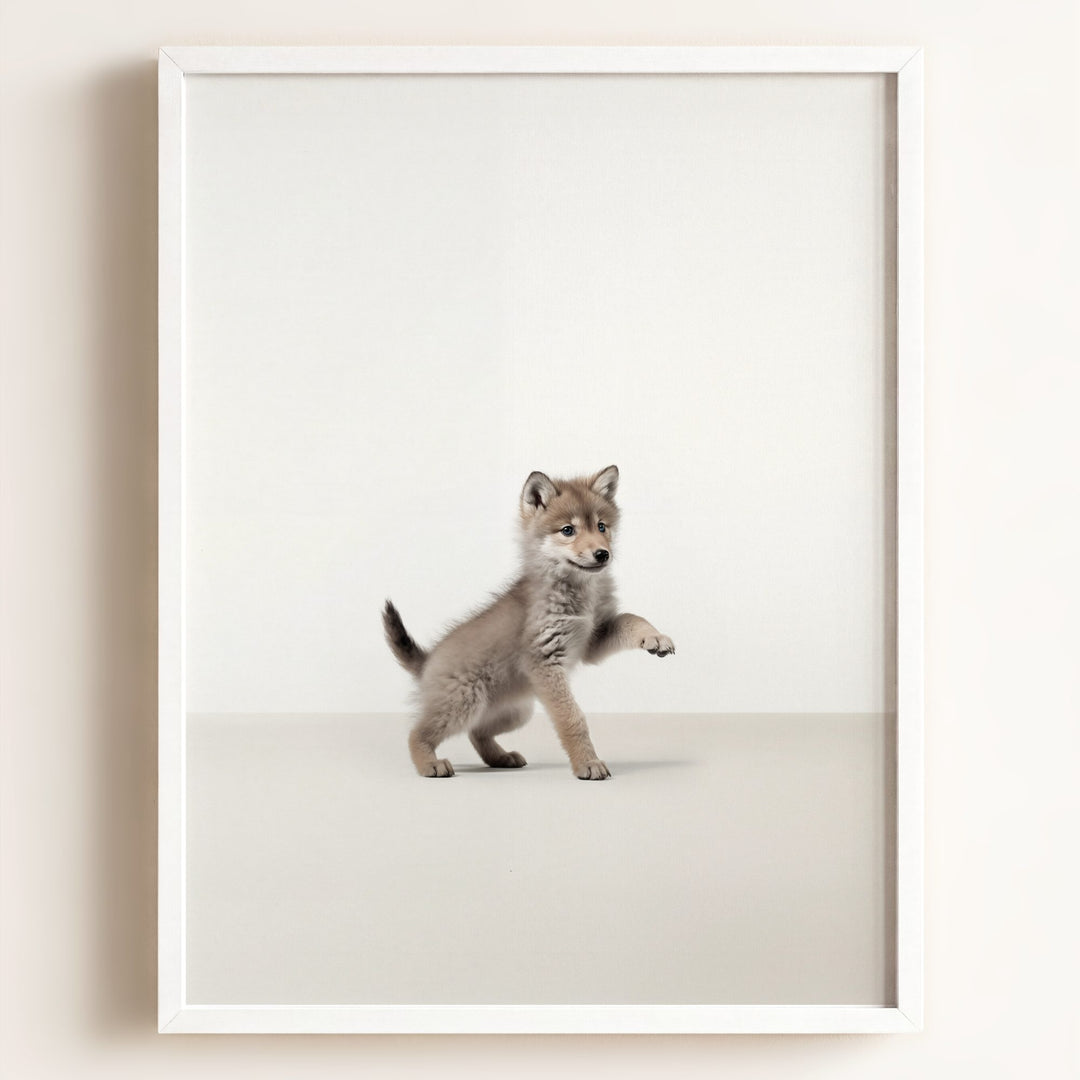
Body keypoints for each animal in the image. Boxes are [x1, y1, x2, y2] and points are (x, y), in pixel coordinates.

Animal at [382, 465, 675, 780]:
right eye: (568, 530)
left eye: (601, 526)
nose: (602, 553)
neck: (579, 592)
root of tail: (427, 660)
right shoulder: (545, 661)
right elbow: (573, 718)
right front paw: (587, 762)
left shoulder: (593, 640)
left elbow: (632, 618)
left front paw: (655, 637)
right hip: (464, 703)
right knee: (417, 733)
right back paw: (429, 764)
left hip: (515, 712)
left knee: (477, 732)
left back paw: (500, 757)